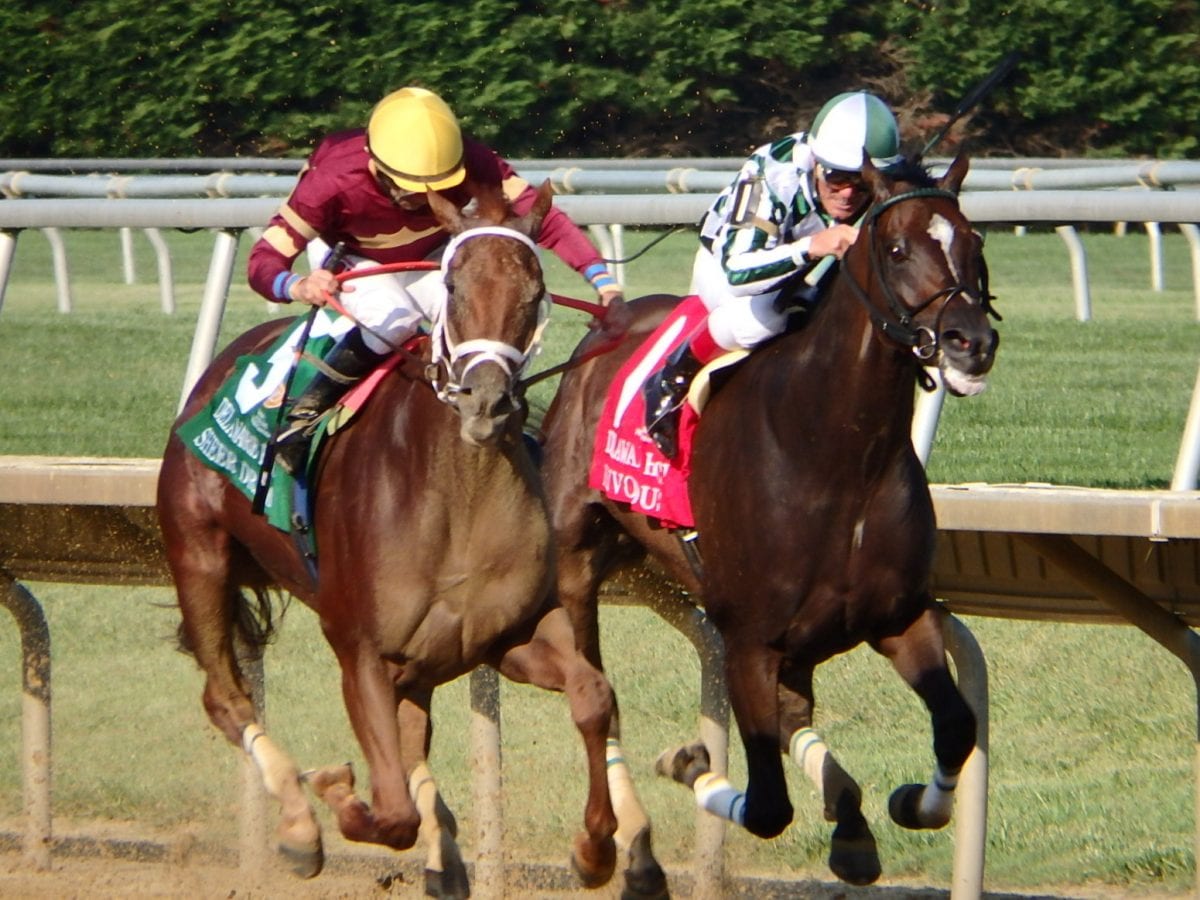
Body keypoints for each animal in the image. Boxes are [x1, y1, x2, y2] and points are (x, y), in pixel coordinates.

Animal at [157, 180, 619, 897]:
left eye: (535, 288)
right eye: (453, 284)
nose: (487, 402)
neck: (461, 499)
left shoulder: (505, 636)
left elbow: (595, 696)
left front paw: (595, 848)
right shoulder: (362, 652)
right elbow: (392, 811)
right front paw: (335, 791)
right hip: (199, 553)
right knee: (225, 698)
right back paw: (299, 825)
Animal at [540, 154, 998, 888]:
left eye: (975, 243)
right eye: (897, 249)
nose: (971, 343)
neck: (836, 454)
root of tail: (610, 320)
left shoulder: (898, 615)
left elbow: (956, 726)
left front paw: (905, 802)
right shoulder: (749, 639)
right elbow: (766, 807)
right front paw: (689, 763)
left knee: (795, 710)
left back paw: (848, 819)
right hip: (578, 560)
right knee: (597, 699)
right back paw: (618, 848)